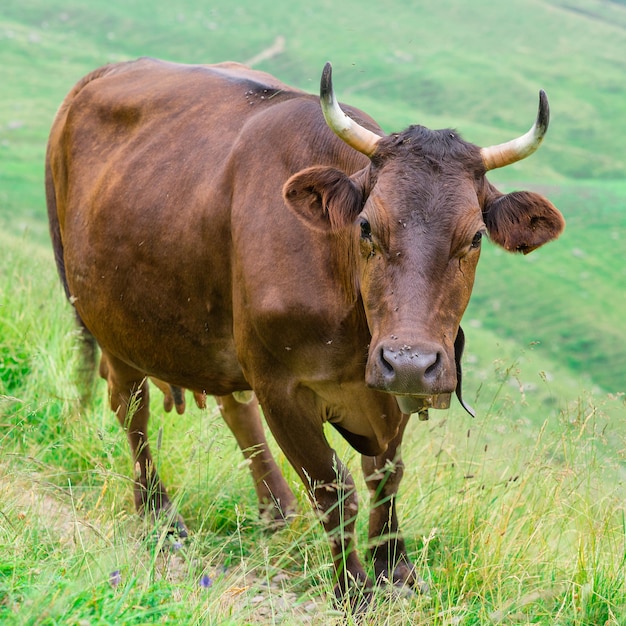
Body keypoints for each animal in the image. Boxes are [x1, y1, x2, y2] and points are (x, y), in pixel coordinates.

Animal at [42, 59, 560, 604]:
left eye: (476, 236)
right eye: (366, 226)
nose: (410, 361)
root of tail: (113, 68)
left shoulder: (390, 385)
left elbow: (386, 476)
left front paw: (396, 570)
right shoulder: (281, 387)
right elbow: (334, 489)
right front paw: (354, 588)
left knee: (232, 407)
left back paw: (276, 510)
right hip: (105, 315)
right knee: (132, 408)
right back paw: (160, 516)